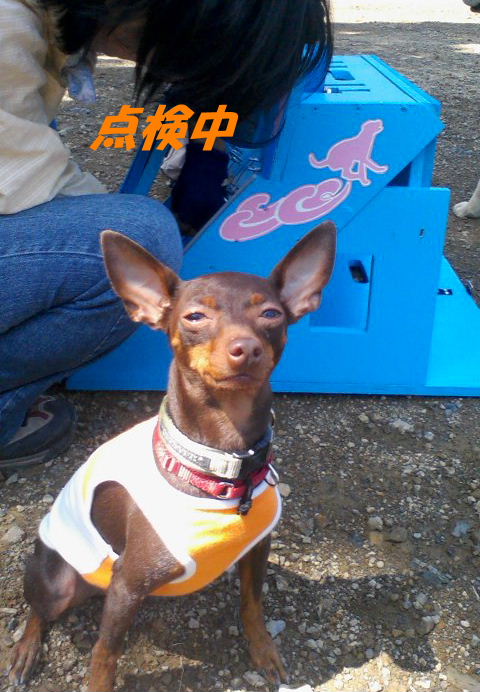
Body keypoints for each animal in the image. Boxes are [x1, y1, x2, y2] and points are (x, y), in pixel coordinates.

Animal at [8, 221, 336, 692]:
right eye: (195, 317)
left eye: (271, 315)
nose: (246, 347)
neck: (222, 461)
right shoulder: (127, 586)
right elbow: (105, 656)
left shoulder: (258, 548)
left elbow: (252, 605)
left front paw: (263, 650)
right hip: (57, 583)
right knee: (38, 610)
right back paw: (25, 650)